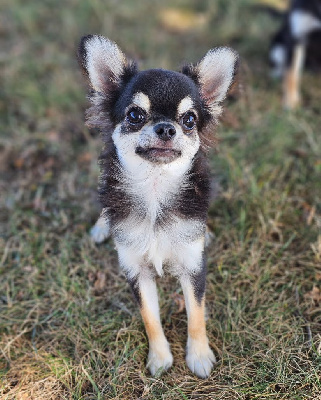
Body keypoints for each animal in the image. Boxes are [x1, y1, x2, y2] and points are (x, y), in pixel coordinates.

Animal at [78, 34, 238, 378]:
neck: (154, 189)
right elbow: (150, 318)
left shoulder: (193, 267)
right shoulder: (136, 272)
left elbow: (196, 314)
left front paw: (199, 357)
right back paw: (102, 226)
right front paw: (160, 358)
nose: (166, 128)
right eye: (135, 115)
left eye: (189, 120)